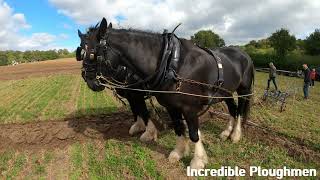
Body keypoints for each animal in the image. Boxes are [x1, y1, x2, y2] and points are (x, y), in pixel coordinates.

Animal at [82, 18, 255, 169]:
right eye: (81, 51)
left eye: (91, 53)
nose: (89, 81)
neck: (172, 63)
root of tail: (244, 53)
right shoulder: (171, 106)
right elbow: (178, 127)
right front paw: (178, 152)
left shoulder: (189, 108)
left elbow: (193, 133)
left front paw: (197, 161)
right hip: (225, 92)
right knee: (232, 109)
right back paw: (226, 132)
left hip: (244, 90)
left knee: (240, 109)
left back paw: (235, 135)